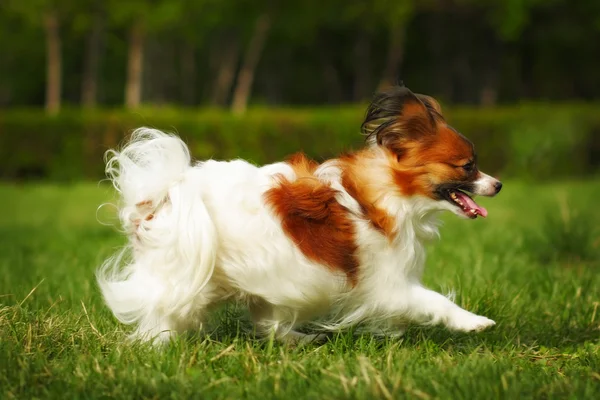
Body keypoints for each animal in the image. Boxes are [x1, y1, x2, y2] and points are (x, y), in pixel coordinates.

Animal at [98, 85, 502, 346]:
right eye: (467, 166)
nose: (497, 185)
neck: (388, 190)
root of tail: (164, 194)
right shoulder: (389, 286)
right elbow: (434, 301)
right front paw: (473, 322)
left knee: (267, 323)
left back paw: (298, 339)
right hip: (186, 277)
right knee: (162, 317)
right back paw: (160, 346)